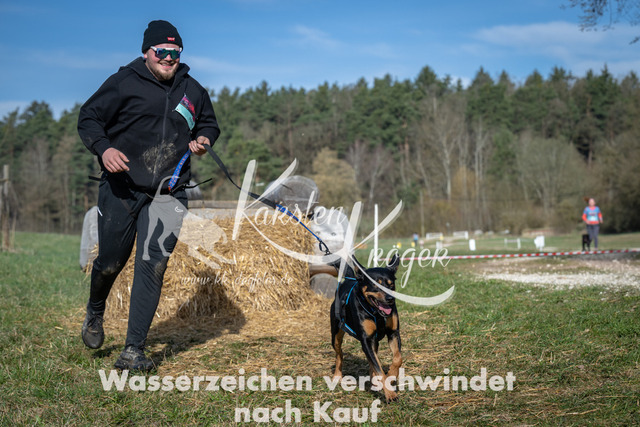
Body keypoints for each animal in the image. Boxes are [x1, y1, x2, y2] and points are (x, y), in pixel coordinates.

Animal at [330, 254, 402, 402]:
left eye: (391, 284)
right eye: (375, 284)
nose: (390, 298)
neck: (376, 313)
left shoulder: (393, 333)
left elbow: (398, 358)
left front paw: (391, 375)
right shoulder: (366, 339)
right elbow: (379, 369)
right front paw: (390, 394)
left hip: (374, 341)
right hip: (336, 334)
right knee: (339, 354)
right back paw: (337, 375)